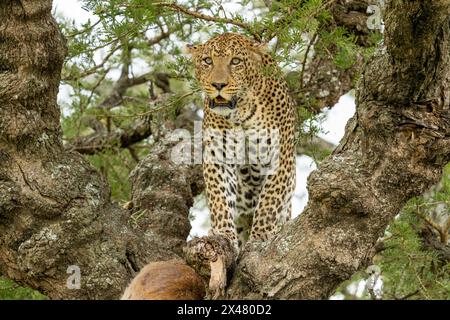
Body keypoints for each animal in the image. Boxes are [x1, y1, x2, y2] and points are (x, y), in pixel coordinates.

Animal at [185, 31, 296, 252]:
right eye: (207, 61)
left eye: (235, 61)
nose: (218, 85)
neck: (242, 112)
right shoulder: (218, 156)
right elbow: (219, 197)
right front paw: (223, 233)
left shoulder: (281, 156)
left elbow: (269, 200)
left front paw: (261, 236)